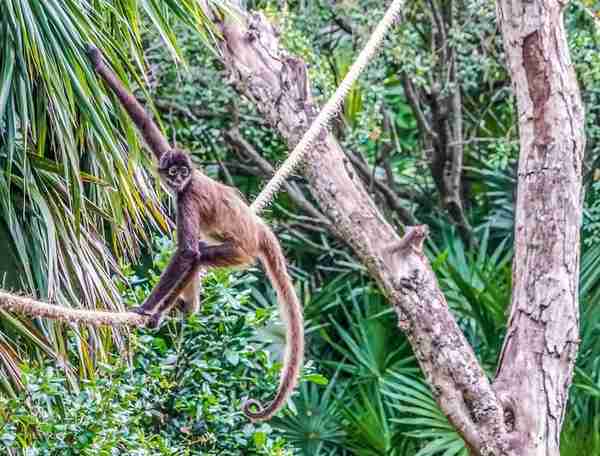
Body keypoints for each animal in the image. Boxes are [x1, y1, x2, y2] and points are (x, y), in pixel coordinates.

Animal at [86, 46, 302, 420]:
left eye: (183, 173)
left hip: (239, 251)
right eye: (173, 171)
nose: (178, 178)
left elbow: (186, 251)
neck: (188, 184)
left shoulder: (186, 197)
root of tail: (259, 229)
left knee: (199, 255)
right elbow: (146, 124)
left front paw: (146, 308)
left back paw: (170, 310)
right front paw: (97, 61)